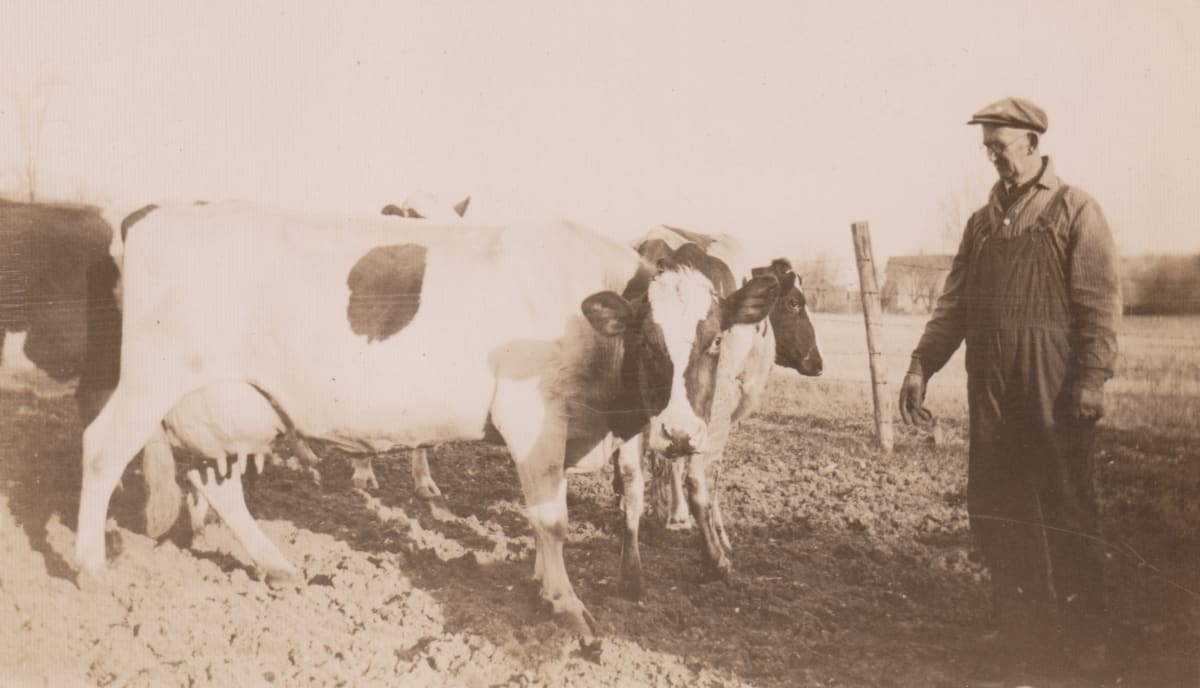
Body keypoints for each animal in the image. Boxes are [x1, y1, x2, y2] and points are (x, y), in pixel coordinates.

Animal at [75, 201, 777, 648]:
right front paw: (566, 603)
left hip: (225, 401)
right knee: (102, 450)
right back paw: (89, 567)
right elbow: (551, 519)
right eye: (650, 340)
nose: (681, 435)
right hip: (151, 382)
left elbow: (549, 517)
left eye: (714, 340)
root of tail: (151, 212)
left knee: (217, 483)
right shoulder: (533, 420)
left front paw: (539, 581)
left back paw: (277, 566)